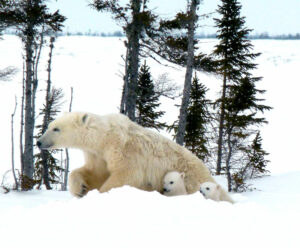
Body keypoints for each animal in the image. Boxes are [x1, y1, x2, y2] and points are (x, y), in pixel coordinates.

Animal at [37, 112, 218, 198]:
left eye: (56, 128)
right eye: (50, 125)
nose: (39, 142)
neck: (105, 137)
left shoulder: (125, 149)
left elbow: (126, 174)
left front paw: (102, 192)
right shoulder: (98, 154)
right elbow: (95, 172)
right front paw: (80, 188)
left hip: (190, 179)